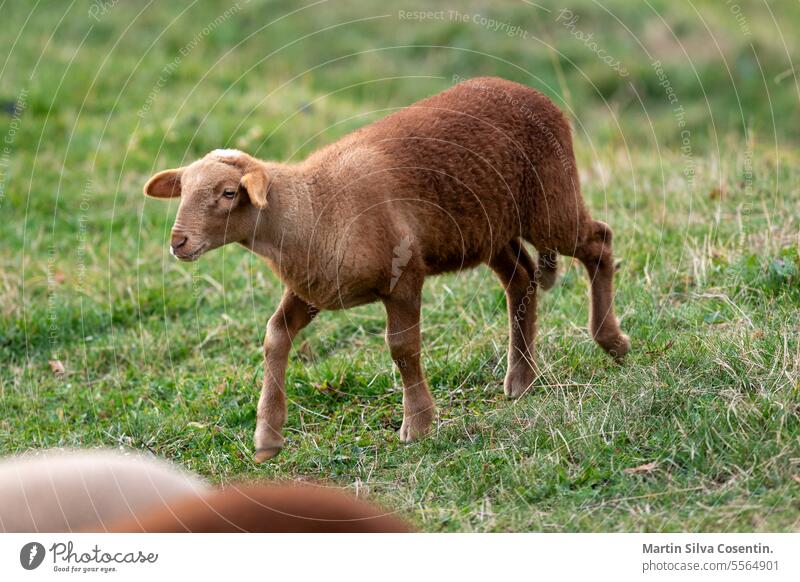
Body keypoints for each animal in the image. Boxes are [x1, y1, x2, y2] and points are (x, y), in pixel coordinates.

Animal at [145, 77, 632, 464]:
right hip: (488, 228)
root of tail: (533, 94)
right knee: (522, 278)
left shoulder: (404, 278)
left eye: (229, 193)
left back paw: (611, 342)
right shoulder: (312, 288)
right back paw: (521, 379)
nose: (178, 242)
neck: (310, 207)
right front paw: (268, 436)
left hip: (550, 202)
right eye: (183, 191)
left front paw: (417, 425)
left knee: (599, 242)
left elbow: (402, 348)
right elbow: (275, 336)